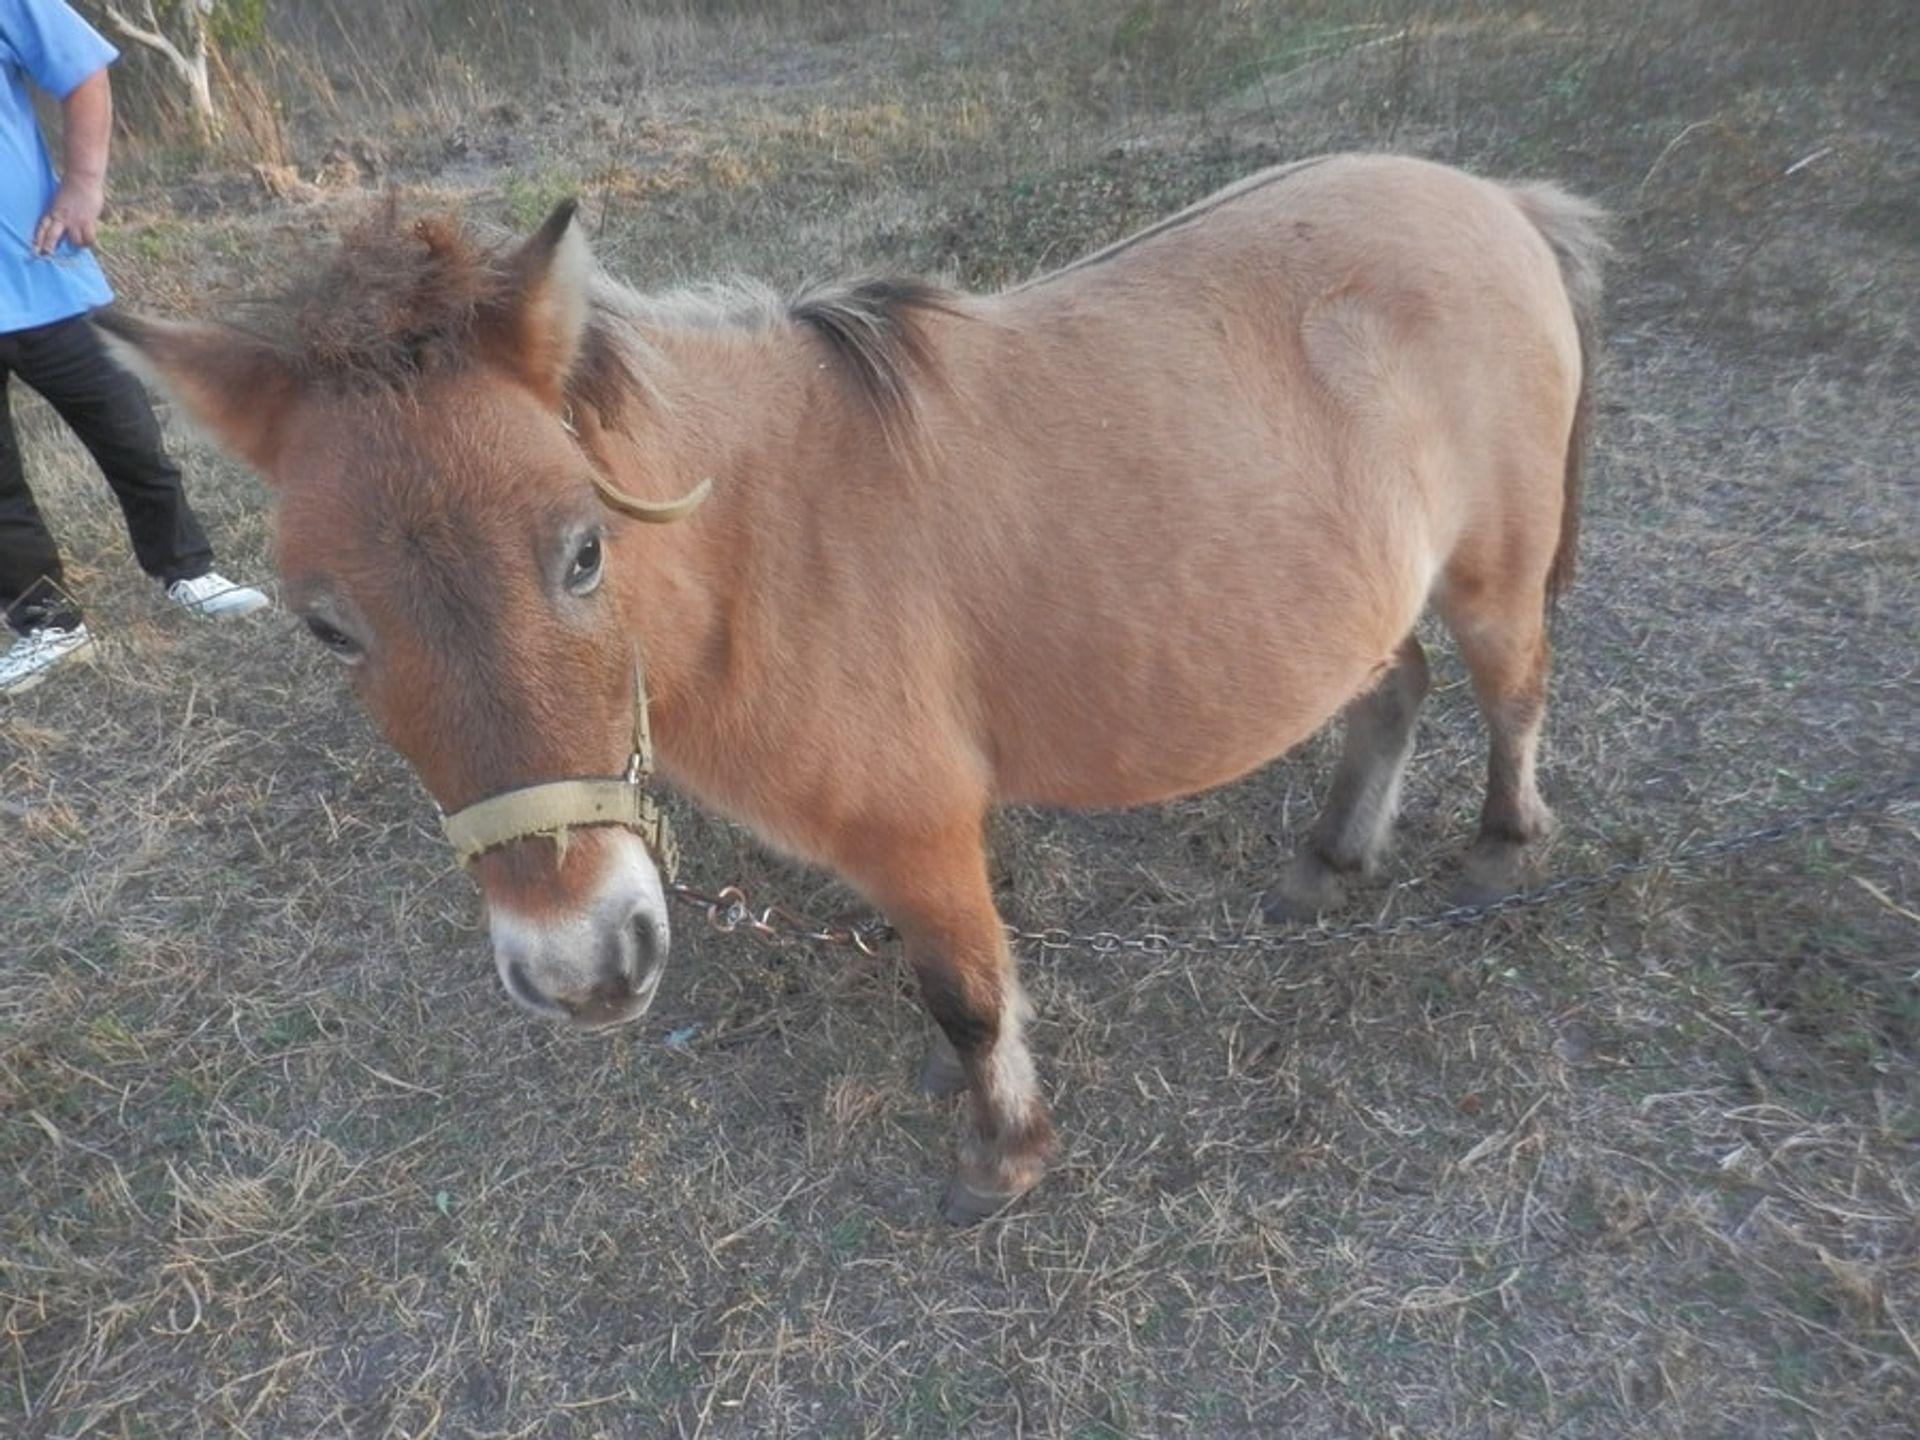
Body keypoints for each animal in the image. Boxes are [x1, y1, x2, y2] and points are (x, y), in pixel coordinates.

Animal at [105, 155, 1605, 1221]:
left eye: (584, 551)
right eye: (324, 626)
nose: (583, 967)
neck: (770, 548)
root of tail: (1492, 201)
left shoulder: (921, 829)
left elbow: (969, 994)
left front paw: (1002, 1158)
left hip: (1492, 573)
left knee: (1511, 690)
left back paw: (1499, 854)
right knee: (1393, 690)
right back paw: (1331, 863)